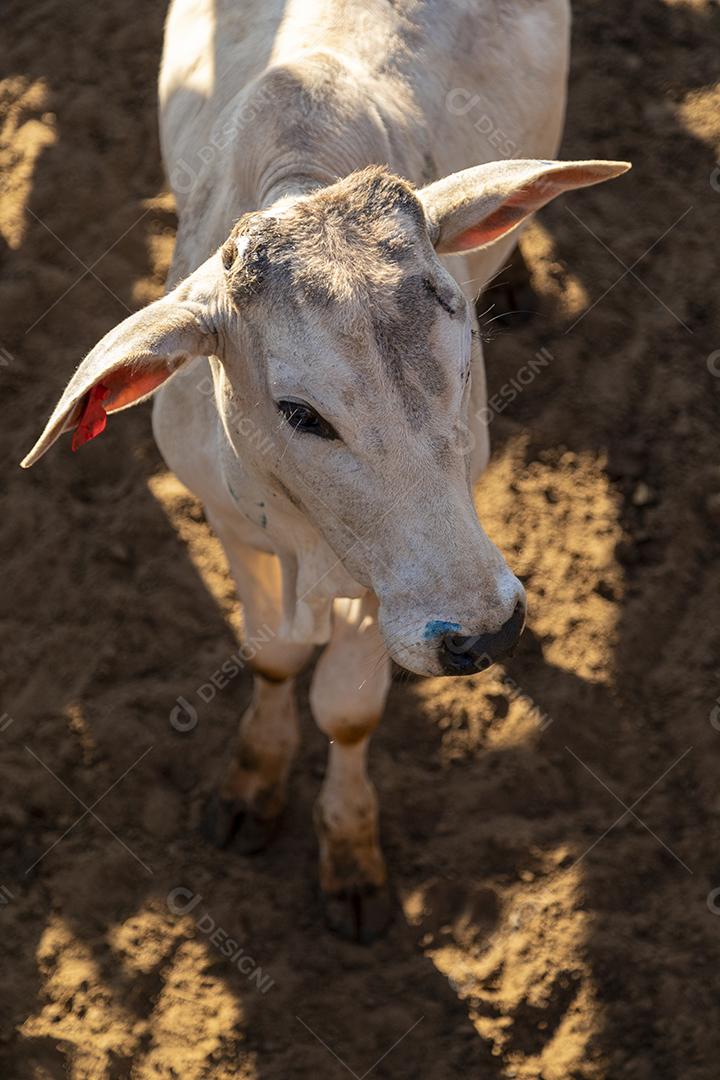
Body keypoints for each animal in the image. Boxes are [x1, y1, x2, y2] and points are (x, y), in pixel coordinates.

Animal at [21, 0, 629, 941]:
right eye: (302, 413)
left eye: (466, 356)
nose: (486, 633)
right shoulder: (229, 522)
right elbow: (273, 657)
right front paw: (252, 783)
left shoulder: (388, 581)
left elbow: (346, 709)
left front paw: (349, 854)